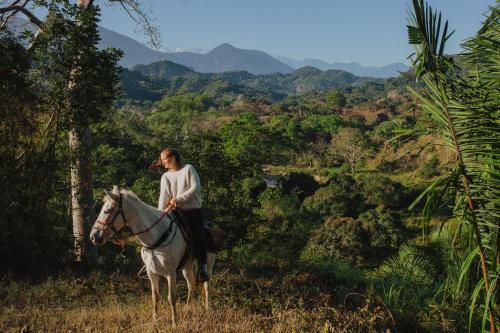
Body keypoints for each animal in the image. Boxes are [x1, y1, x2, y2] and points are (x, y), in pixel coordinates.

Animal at [91, 185, 216, 328]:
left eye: (107, 210)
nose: (93, 237)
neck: (156, 237)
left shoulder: (171, 274)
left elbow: (171, 298)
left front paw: (175, 324)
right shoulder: (152, 273)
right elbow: (155, 297)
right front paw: (155, 322)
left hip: (208, 264)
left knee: (206, 284)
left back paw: (207, 308)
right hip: (186, 266)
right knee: (191, 283)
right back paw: (187, 309)